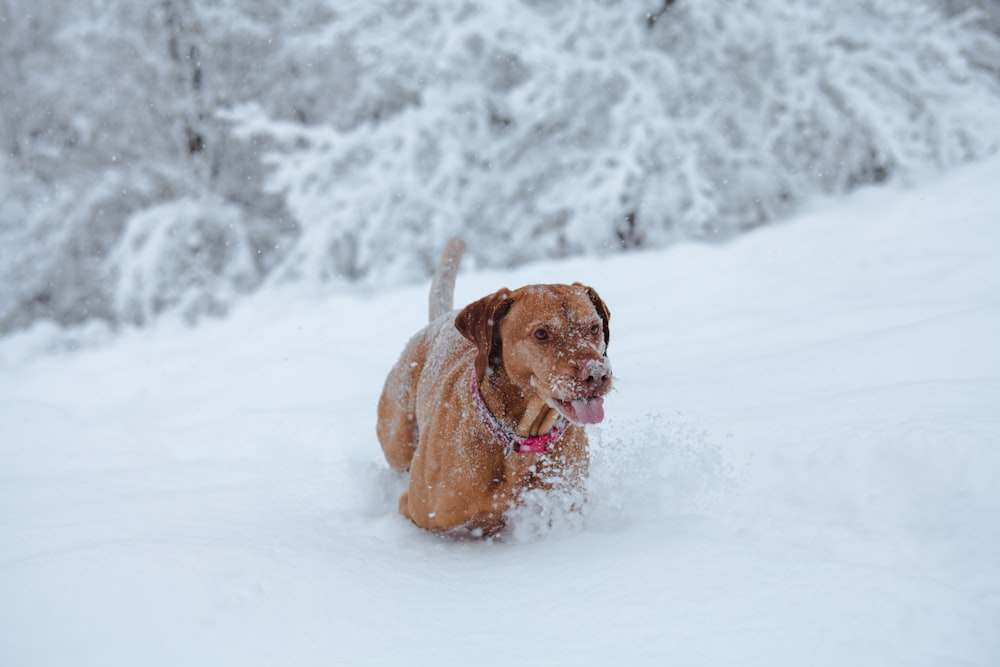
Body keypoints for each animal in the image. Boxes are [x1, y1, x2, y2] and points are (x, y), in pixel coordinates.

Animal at [376, 237, 608, 536]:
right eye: (541, 333)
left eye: (594, 328)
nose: (597, 374)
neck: (520, 437)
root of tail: (439, 320)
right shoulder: (418, 510)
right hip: (398, 438)